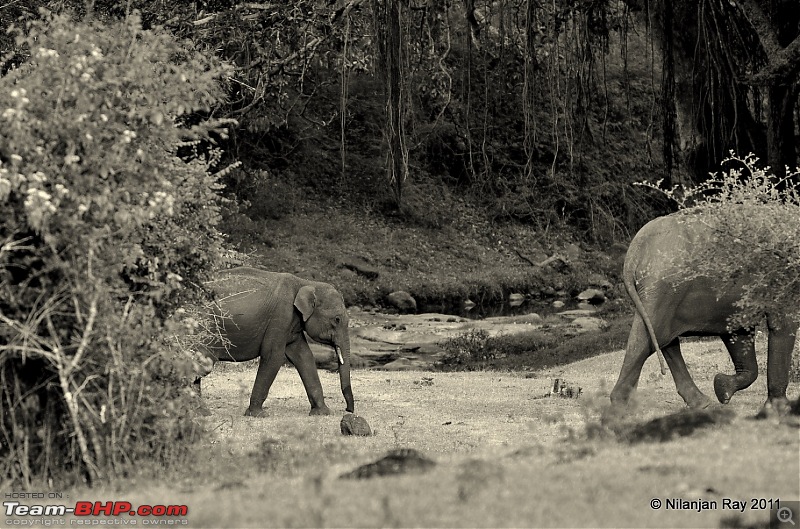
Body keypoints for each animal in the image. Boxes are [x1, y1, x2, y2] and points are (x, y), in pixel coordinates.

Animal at [197, 268, 354, 416]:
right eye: (337, 319)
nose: (348, 410)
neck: (305, 283)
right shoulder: (281, 316)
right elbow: (273, 356)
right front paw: (257, 415)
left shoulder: (292, 324)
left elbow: (304, 357)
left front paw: (322, 413)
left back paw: (201, 412)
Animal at [608, 212, 796, 414]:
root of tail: (633, 254)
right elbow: (782, 324)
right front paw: (778, 409)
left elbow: (738, 332)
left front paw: (722, 388)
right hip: (663, 288)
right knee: (650, 339)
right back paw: (620, 407)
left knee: (661, 339)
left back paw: (700, 403)